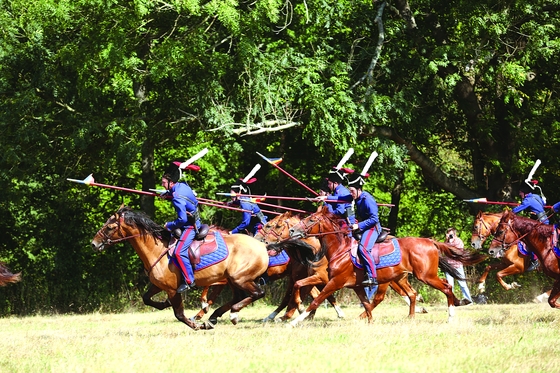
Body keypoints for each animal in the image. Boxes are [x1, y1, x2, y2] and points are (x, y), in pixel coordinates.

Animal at [90, 205, 270, 330]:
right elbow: (146, 298)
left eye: (110, 227)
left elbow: (179, 314)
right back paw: (214, 318)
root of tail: (262, 246)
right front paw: (165, 304)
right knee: (239, 296)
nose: (93, 244)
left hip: (240, 278)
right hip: (233, 280)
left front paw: (195, 325)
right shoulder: (157, 285)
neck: (157, 250)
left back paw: (231, 314)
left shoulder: (172, 289)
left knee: (257, 293)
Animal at [274, 208, 488, 324]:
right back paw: (412, 316)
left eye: (311, 219)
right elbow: (367, 303)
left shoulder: (334, 282)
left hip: (425, 276)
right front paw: (369, 321)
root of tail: (430, 241)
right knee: (413, 293)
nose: (292, 231)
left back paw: (451, 315)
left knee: (447, 287)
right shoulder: (356, 285)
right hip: (404, 277)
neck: (339, 250)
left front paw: (295, 320)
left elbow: (316, 300)